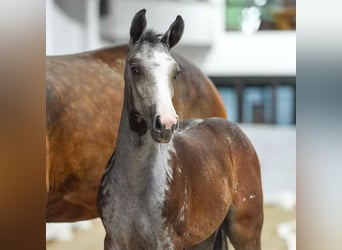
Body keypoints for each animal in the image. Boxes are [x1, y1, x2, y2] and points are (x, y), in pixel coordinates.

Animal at [97, 9, 264, 250]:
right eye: (135, 68)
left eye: (176, 72)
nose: (166, 124)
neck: (136, 189)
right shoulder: (114, 241)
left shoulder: (169, 242)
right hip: (203, 238)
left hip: (246, 231)